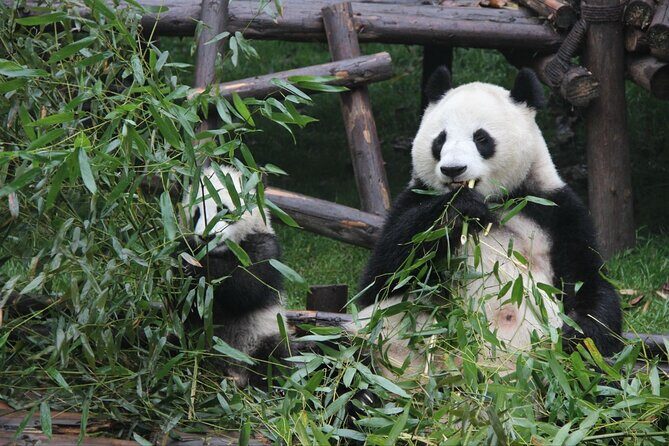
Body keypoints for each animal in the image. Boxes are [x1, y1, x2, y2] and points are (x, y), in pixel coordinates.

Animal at [182, 164, 288, 388]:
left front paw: (199, 268)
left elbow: (245, 288)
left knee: (273, 363)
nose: (206, 237)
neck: (220, 252)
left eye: (223, 210)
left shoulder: (264, 250)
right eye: (196, 213)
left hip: (264, 335)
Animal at [351, 67, 622, 377]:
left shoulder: (557, 212)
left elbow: (591, 286)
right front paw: (457, 209)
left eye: (481, 138)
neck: (493, 201)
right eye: (440, 140)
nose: (453, 169)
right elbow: (382, 280)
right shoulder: (411, 201)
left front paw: (576, 338)